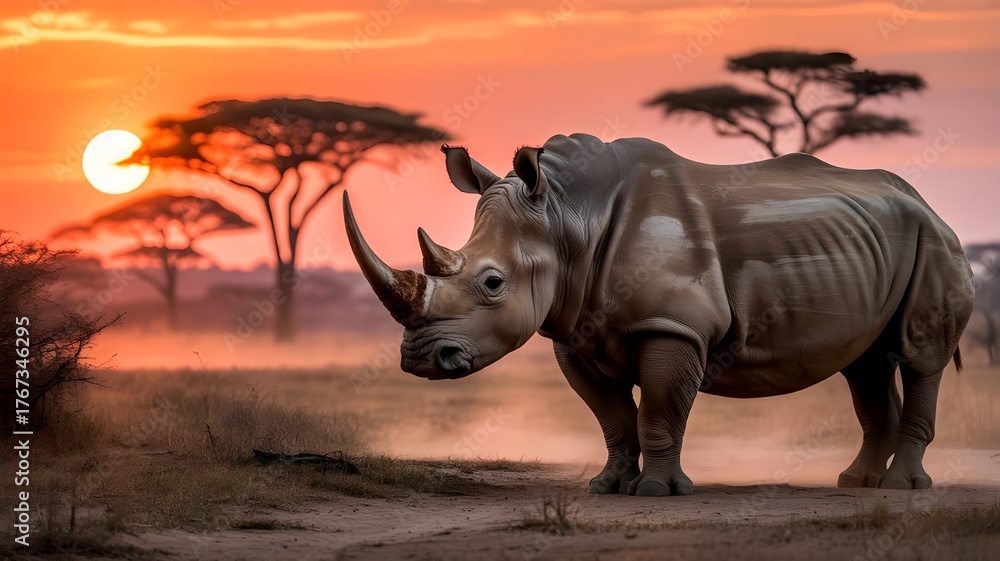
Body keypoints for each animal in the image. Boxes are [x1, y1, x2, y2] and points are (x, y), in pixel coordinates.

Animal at [343, 133, 974, 496]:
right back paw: (858, 482)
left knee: (919, 357)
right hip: (880, 245)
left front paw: (659, 492)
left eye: (493, 283)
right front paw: (607, 487)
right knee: (865, 362)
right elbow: (612, 417)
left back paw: (902, 488)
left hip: (935, 242)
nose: (420, 359)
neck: (568, 219)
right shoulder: (575, 334)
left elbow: (660, 408)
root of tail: (928, 204)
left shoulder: (675, 327)